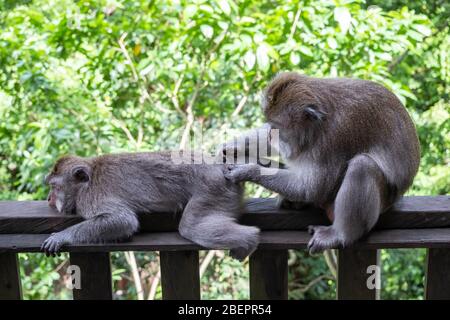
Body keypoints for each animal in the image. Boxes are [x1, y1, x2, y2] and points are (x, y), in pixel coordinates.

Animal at [44, 152, 260, 260]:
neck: (87, 181)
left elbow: (123, 221)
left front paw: (62, 236)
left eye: (54, 187)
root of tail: (222, 167)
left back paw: (249, 239)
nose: (48, 199)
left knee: (190, 227)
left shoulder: (91, 198)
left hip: (212, 188)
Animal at [223, 72, 420, 252]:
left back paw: (341, 234)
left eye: (277, 126)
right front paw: (231, 147)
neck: (320, 123)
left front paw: (248, 170)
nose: (272, 133)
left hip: (383, 200)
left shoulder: (335, 136)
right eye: (270, 123)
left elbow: (314, 188)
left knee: (362, 166)